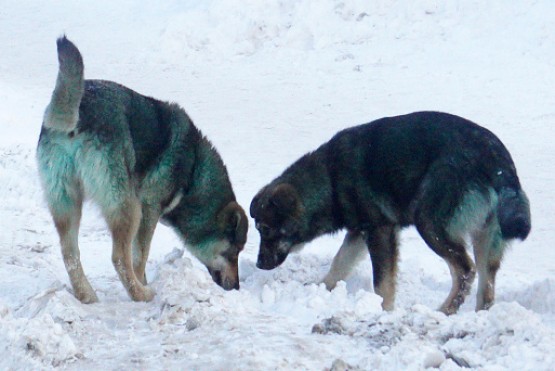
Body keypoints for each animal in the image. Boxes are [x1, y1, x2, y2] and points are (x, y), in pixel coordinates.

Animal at [39, 37, 248, 306]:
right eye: (234, 252)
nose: (237, 287)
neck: (193, 172)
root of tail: (78, 113)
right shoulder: (150, 208)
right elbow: (140, 256)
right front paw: (144, 283)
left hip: (66, 201)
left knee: (70, 254)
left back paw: (87, 296)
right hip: (128, 207)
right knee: (118, 257)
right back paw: (141, 294)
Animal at [251, 112, 528, 316]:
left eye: (266, 229)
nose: (259, 264)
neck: (329, 179)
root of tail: (498, 164)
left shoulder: (380, 231)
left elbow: (382, 282)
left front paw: (383, 310)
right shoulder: (359, 233)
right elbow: (339, 263)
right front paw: (322, 288)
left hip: (430, 223)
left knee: (465, 270)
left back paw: (445, 310)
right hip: (486, 237)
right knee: (486, 286)